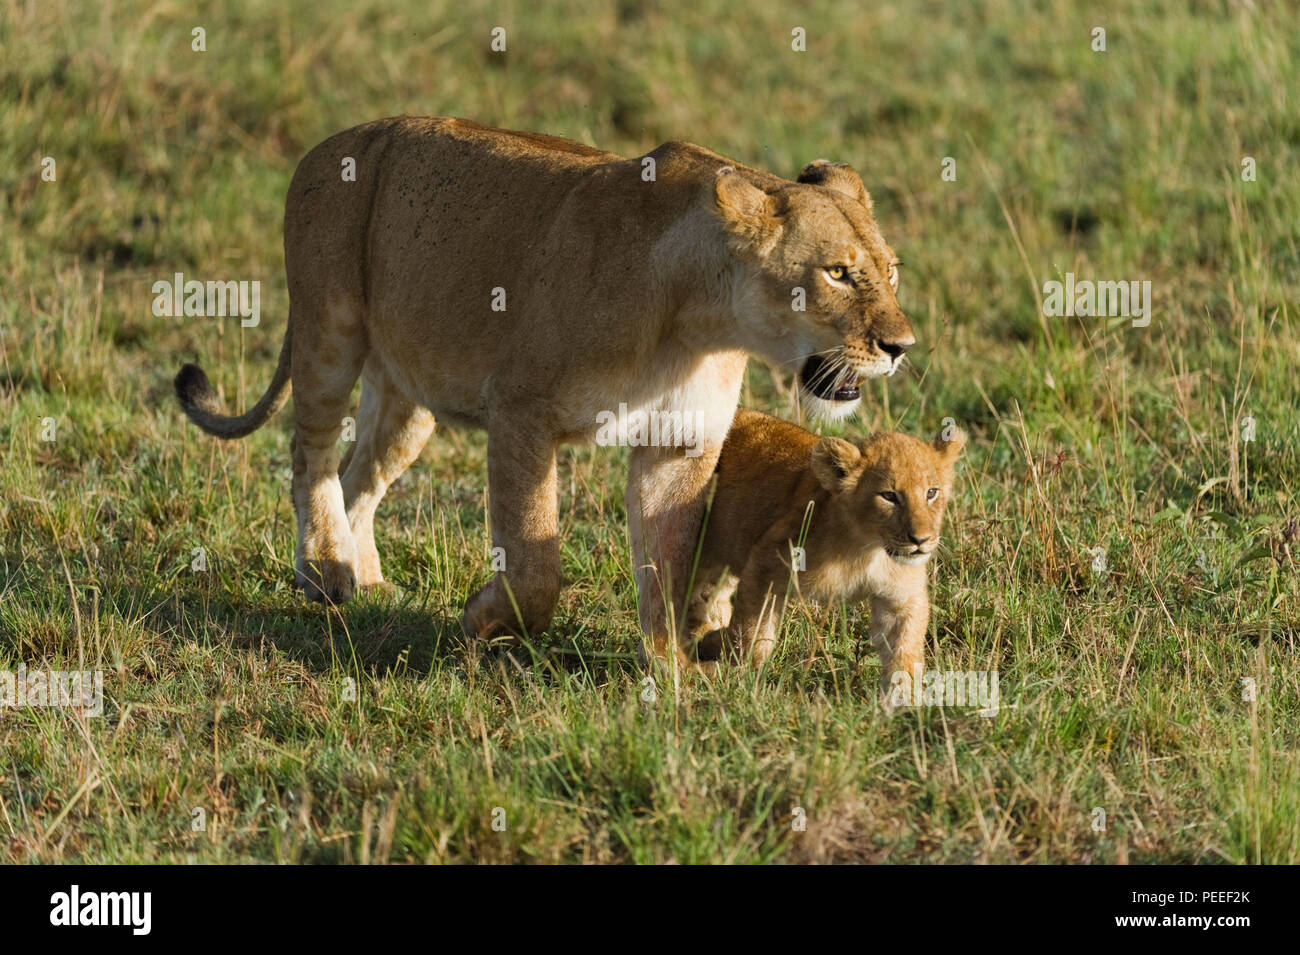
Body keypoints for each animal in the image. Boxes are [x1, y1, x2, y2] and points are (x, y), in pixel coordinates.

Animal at [172, 116, 915, 660]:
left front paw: (669, 670)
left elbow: (668, 563)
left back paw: (368, 580)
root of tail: (330, 142)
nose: (901, 346)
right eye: (838, 273)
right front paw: (482, 618)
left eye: (891, 271)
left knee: (360, 474)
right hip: (329, 331)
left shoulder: (679, 445)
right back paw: (324, 567)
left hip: (411, 394)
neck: (701, 320)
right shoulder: (520, 411)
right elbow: (535, 564)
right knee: (312, 453)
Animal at [686, 409, 965, 687]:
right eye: (889, 496)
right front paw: (745, 676)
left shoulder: (901, 600)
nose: (921, 540)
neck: (868, 549)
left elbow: (904, 653)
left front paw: (904, 695)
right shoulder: (766, 561)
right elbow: (752, 631)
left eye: (931, 492)